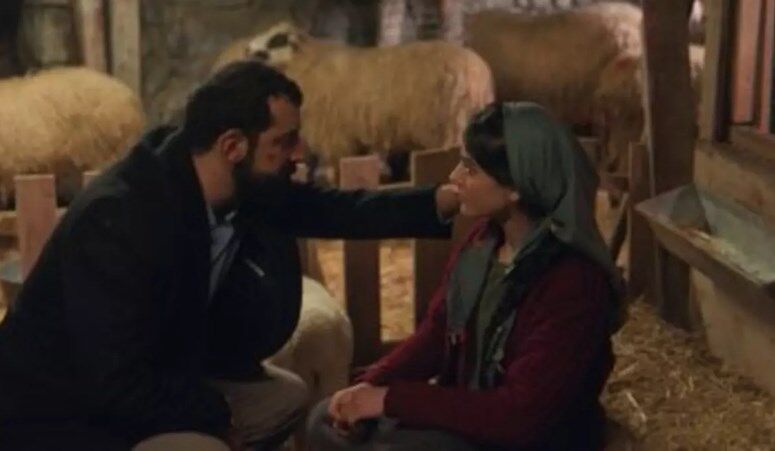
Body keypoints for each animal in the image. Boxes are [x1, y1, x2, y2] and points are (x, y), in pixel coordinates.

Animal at [213, 22, 494, 181]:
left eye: (278, 40)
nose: (248, 49)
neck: (309, 64)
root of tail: (480, 73)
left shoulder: (335, 137)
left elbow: (336, 170)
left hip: (453, 125)